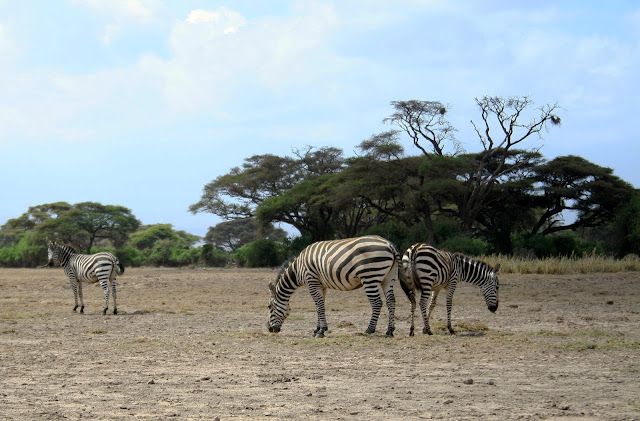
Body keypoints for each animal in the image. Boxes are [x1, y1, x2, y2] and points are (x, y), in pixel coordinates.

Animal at [266, 235, 412, 336]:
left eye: (269, 306)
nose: (269, 329)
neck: (298, 269)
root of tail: (389, 244)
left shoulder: (311, 281)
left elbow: (319, 306)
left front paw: (321, 331)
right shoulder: (321, 285)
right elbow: (320, 306)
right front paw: (317, 329)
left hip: (370, 276)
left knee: (377, 303)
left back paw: (369, 330)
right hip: (388, 277)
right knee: (391, 301)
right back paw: (390, 331)